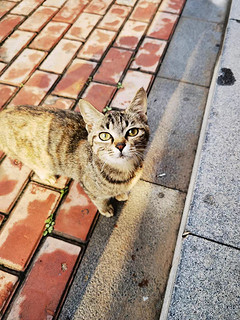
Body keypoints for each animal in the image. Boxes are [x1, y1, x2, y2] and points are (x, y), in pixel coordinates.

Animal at [0, 87, 149, 218]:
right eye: (104, 136)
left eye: (133, 132)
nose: (120, 145)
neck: (123, 170)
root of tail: (5, 111)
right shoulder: (89, 188)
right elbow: (100, 200)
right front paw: (106, 208)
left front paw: (120, 194)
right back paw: (47, 176)